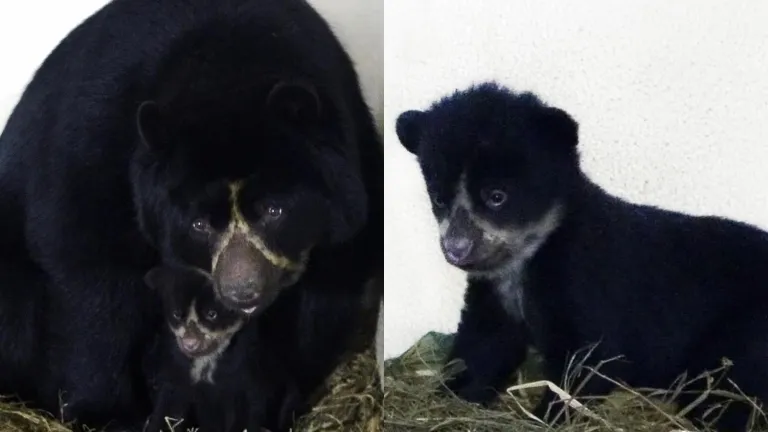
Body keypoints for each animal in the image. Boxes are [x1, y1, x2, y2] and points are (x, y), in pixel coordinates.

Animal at [142, 265, 296, 432]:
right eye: (176, 314)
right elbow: (169, 410)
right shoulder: (176, 374)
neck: (205, 362)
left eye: (212, 314)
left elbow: (248, 410)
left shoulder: (245, 375)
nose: (190, 343)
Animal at [395, 82, 768, 431]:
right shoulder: (493, 294)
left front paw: (547, 417)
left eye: (497, 196)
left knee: (724, 394)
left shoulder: (586, 281)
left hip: (740, 335)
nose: (456, 249)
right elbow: (483, 345)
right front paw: (451, 396)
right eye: (439, 198)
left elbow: (589, 362)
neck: (530, 257)